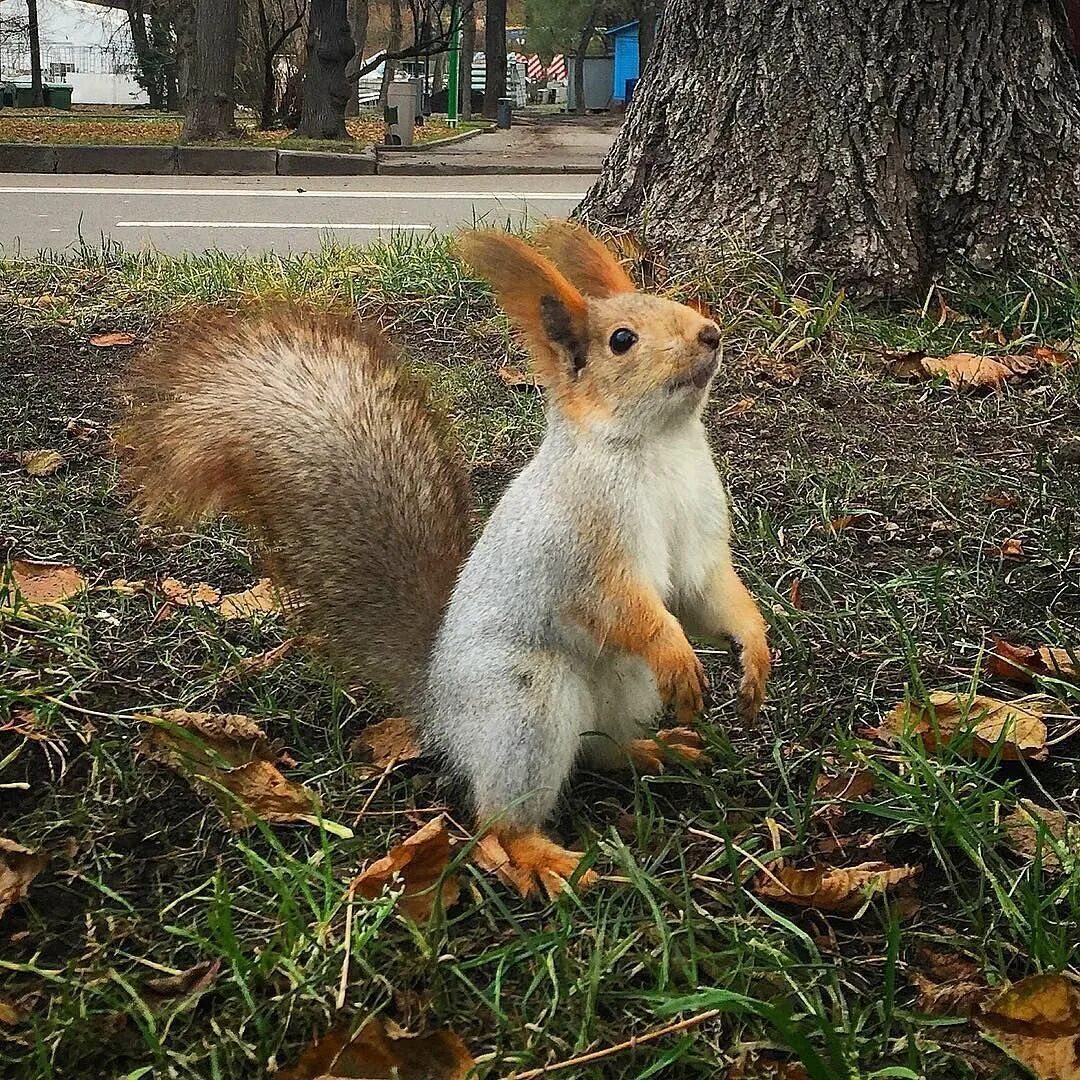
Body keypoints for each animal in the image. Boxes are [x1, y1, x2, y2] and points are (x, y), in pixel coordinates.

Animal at [124, 223, 768, 898]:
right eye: (622, 340)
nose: (711, 333)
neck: (660, 447)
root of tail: (440, 707)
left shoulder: (699, 543)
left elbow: (710, 597)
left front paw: (755, 656)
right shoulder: (584, 550)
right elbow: (626, 610)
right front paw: (679, 656)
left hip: (622, 692)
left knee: (598, 750)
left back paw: (653, 750)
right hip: (525, 705)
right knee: (496, 820)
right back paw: (540, 858)